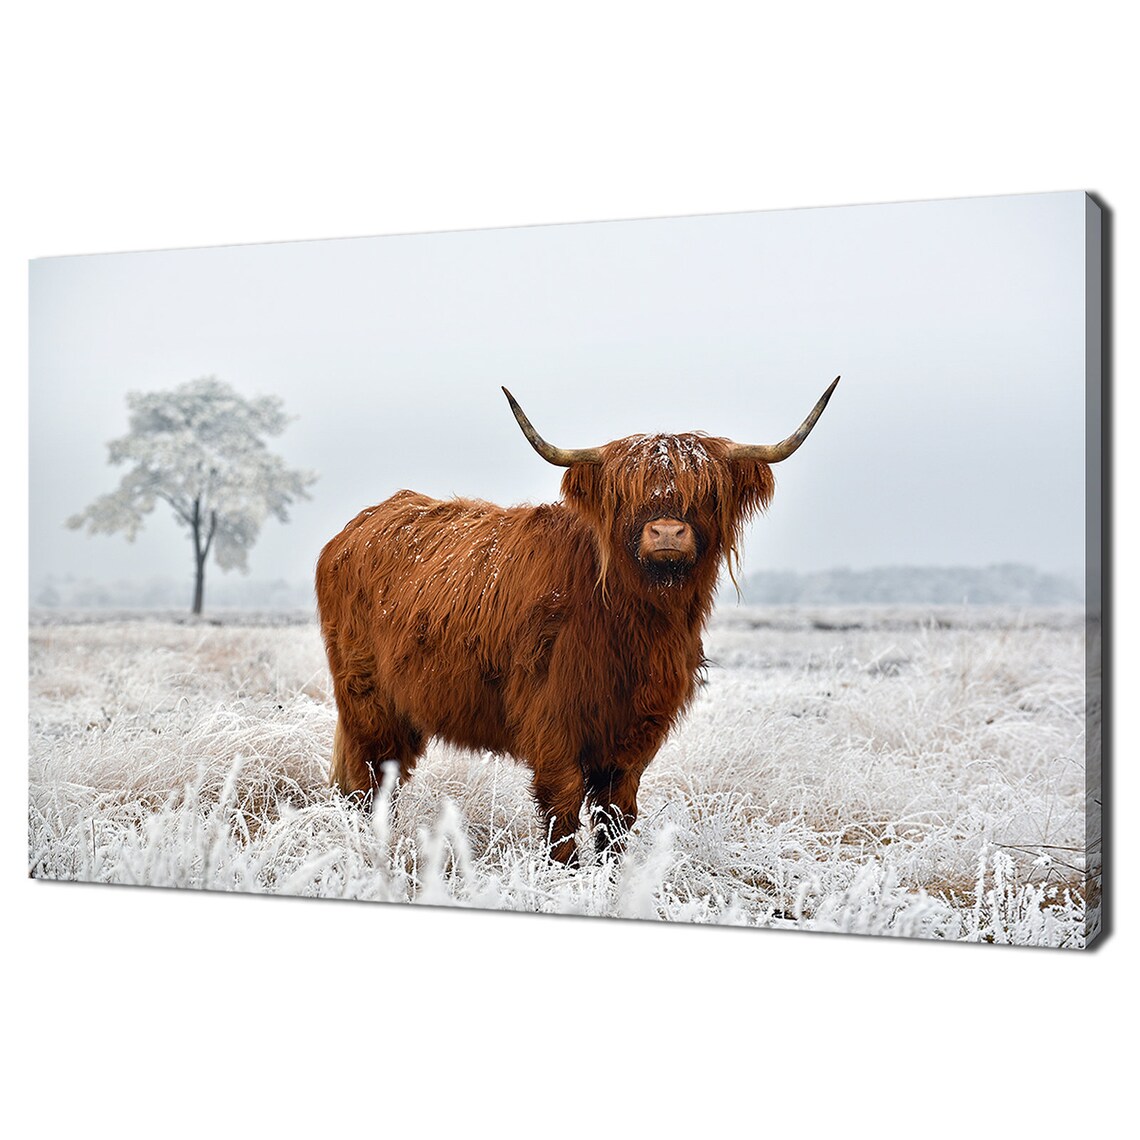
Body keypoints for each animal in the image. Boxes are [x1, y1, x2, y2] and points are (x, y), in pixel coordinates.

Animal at [316, 378, 839, 863]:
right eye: (625, 495)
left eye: (707, 492)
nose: (667, 532)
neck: (635, 627)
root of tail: (358, 526)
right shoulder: (553, 723)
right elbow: (562, 811)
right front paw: (564, 875)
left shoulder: (636, 733)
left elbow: (616, 815)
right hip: (367, 701)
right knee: (366, 779)